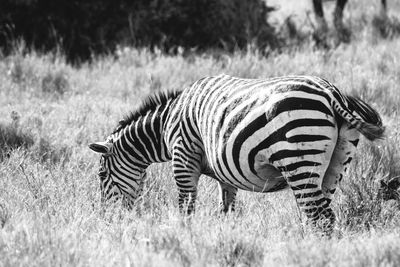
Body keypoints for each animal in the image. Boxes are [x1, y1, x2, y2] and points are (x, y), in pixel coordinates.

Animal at [89, 75, 382, 234]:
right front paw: (226, 236)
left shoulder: (183, 157)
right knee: (320, 215)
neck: (165, 126)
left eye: (102, 175)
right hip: (335, 164)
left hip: (299, 159)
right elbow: (226, 209)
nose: (106, 218)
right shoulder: (225, 173)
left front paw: (183, 236)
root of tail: (330, 92)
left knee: (318, 215)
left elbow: (185, 207)